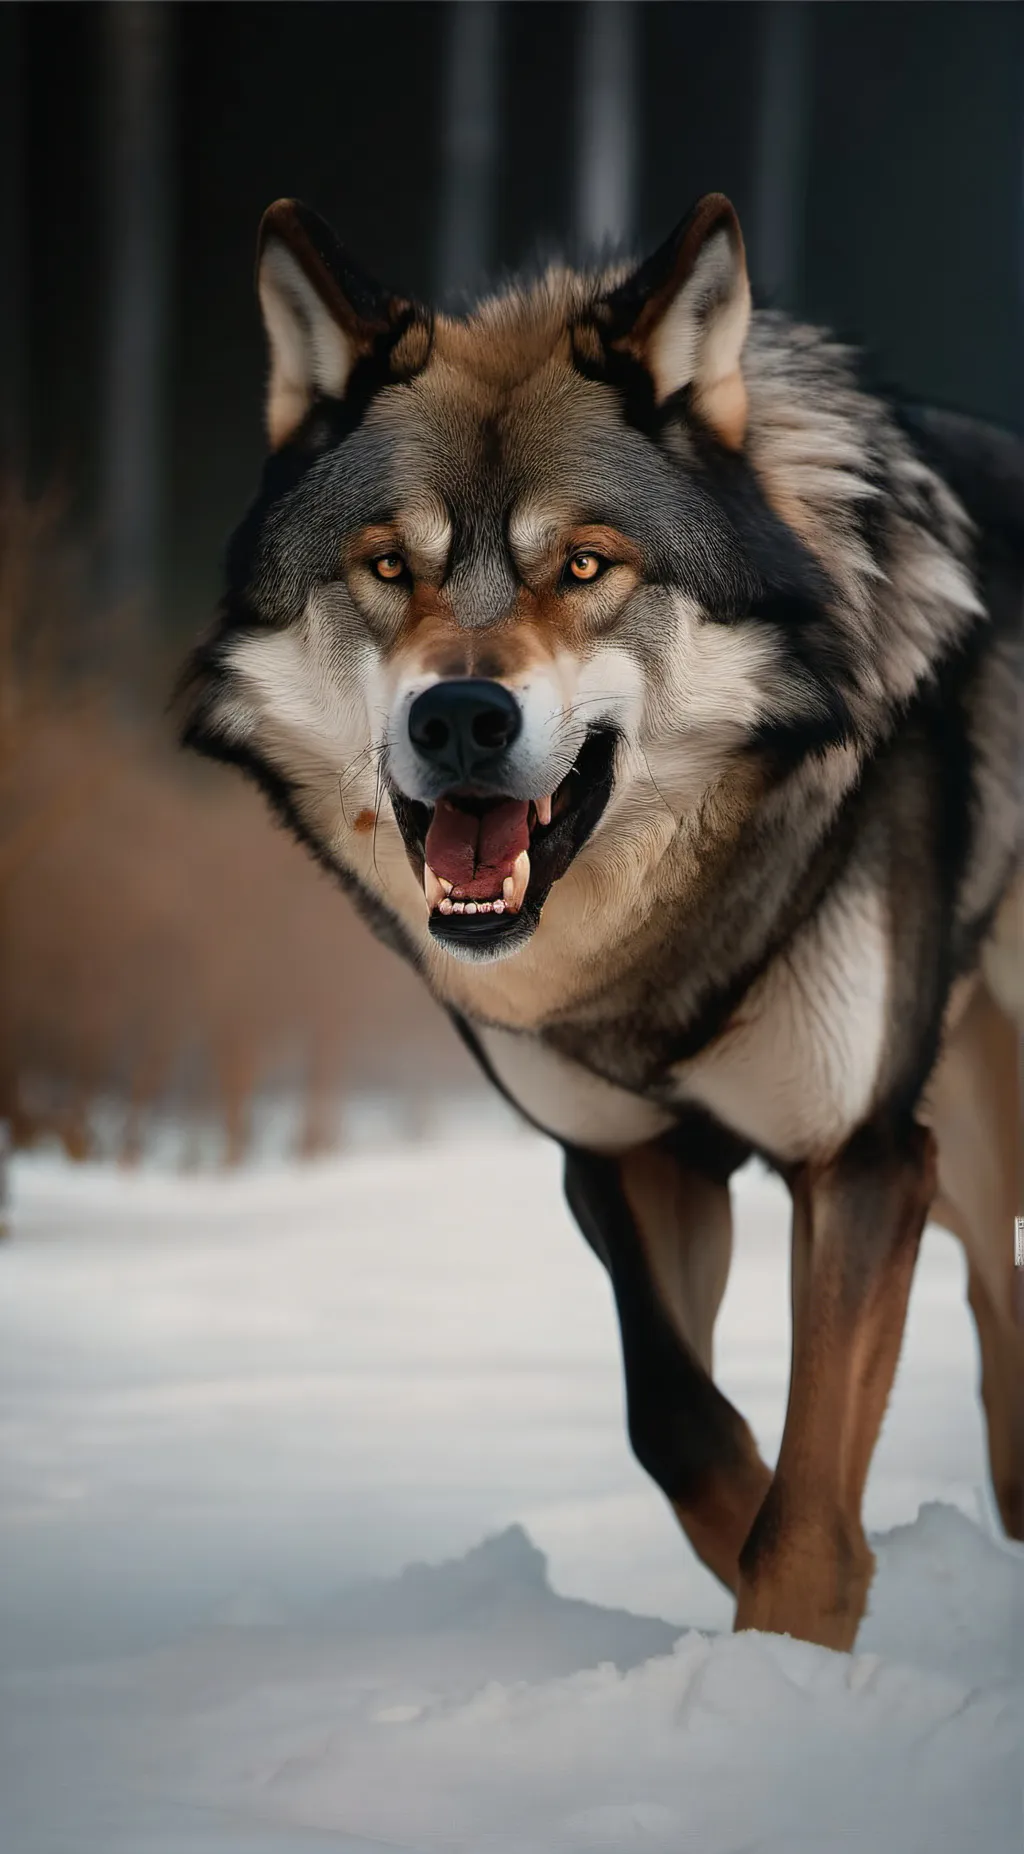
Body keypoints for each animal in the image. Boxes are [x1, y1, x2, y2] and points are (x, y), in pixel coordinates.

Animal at [180, 192, 1023, 1651]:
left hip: (969, 1129)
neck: (656, 959)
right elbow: (679, 1425)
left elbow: (805, 1512)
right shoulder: (632, 1161)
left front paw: (793, 1654)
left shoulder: (860, 1153)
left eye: (582, 565)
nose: (461, 718)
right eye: (387, 566)